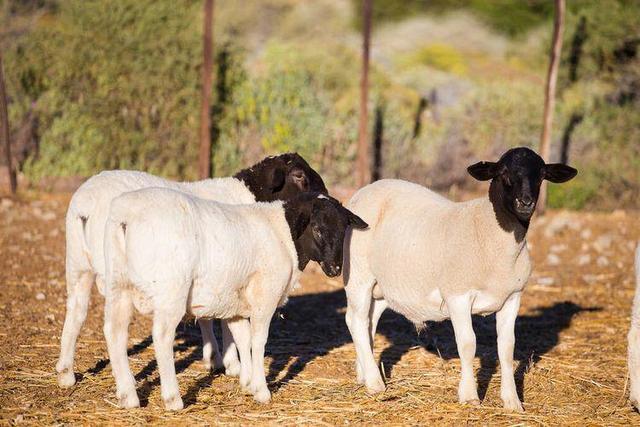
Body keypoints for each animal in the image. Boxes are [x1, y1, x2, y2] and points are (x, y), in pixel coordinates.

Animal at [55, 155, 328, 392]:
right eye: (299, 175)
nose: (325, 195)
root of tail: (86, 206)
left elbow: (208, 315)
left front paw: (215, 358)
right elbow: (225, 320)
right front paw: (232, 363)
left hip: (77, 265)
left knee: (77, 311)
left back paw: (66, 373)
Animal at [102, 189, 368, 410]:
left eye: (344, 230)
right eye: (317, 229)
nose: (335, 269)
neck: (283, 234)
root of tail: (126, 217)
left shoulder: (237, 304)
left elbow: (243, 340)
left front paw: (248, 383)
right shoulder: (265, 297)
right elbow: (258, 342)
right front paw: (261, 390)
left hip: (117, 286)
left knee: (114, 333)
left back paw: (128, 396)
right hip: (171, 291)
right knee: (161, 337)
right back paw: (172, 398)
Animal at [342, 146, 576, 412]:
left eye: (541, 175)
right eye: (504, 173)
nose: (525, 202)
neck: (488, 232)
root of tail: (364, 191)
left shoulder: (512, 297)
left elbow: (507, 347)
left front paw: (512, 401)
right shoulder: (457, 295)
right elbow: (467, 344)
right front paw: (469, 395)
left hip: (383, 286)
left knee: (368, 322)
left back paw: (364, 374)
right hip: (358, 275)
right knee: (356, 321)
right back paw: (374, 383)